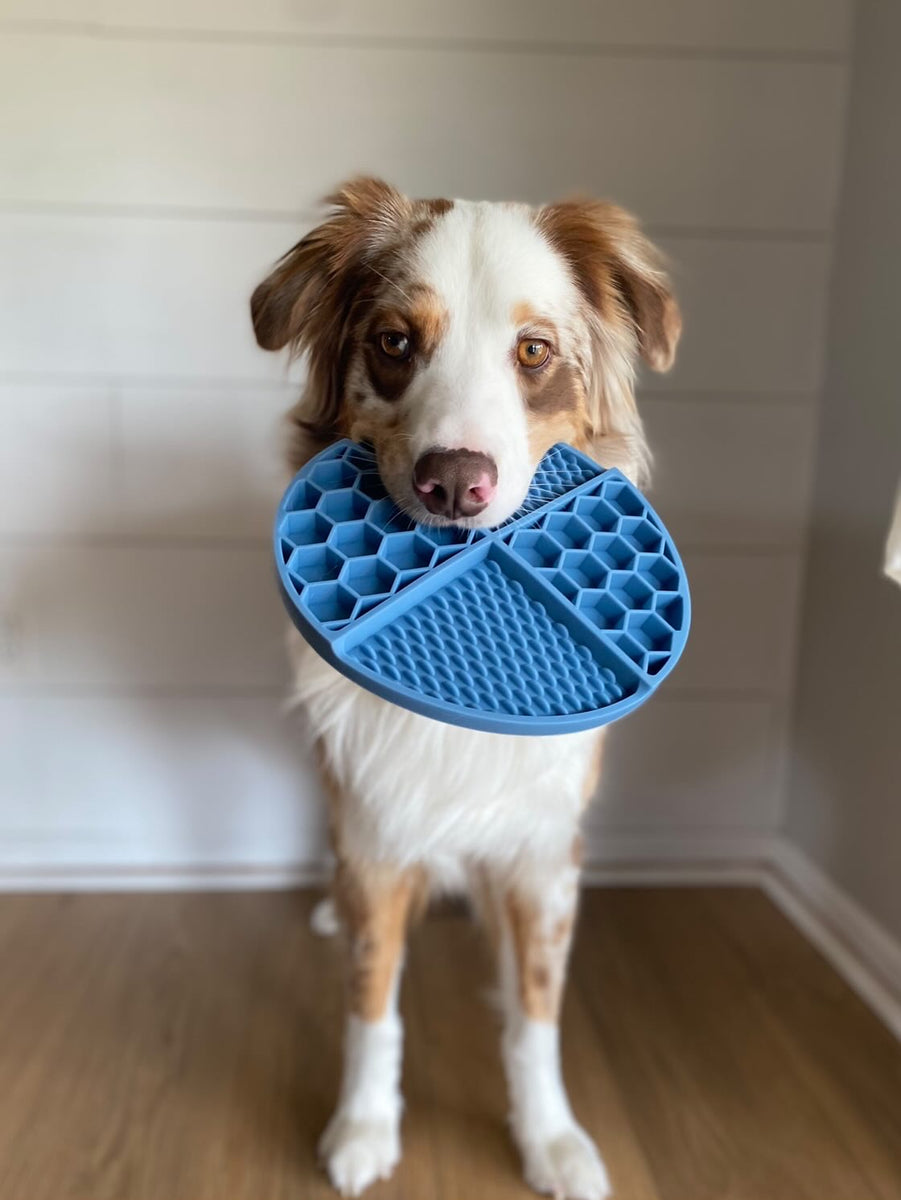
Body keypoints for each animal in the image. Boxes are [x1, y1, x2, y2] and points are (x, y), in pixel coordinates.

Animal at [250, 177, 681, 1200]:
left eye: (533, 351)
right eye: (393, 343)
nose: (453, 485)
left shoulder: (544, 854)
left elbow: (536, 1015)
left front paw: (551, 1140)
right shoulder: (374, 829)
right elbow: (372, 1002)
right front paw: (363, 1126)